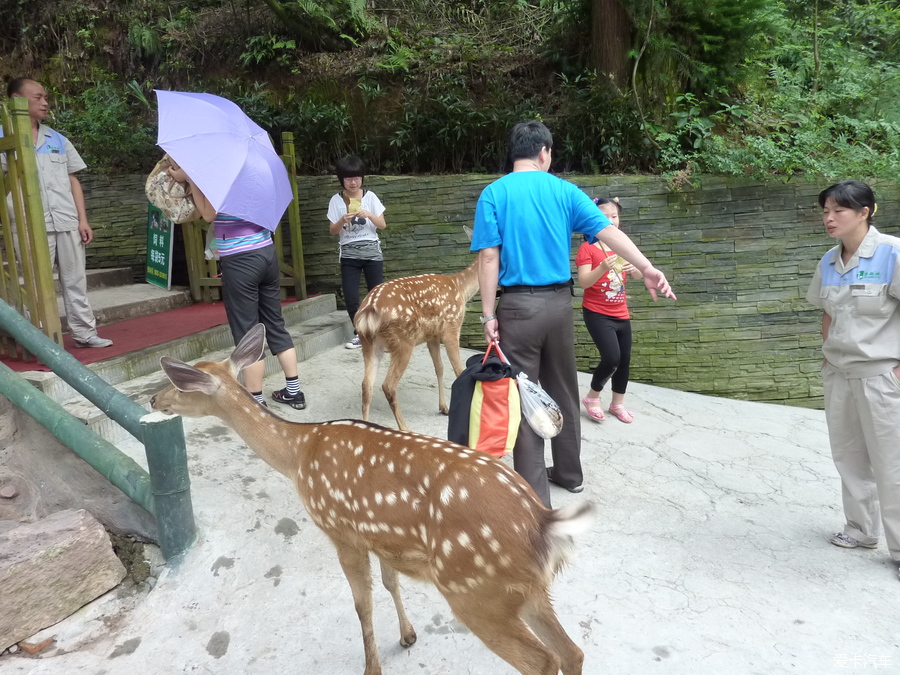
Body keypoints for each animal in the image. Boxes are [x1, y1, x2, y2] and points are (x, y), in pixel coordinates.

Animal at [152, 324, 596, 672]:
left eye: (178, 382)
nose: (154, 400)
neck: (299, 455)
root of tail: (545, 523)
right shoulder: (379, 535)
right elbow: (389, 583)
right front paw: (407, 635)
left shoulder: (341, 530)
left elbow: (361, 604)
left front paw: (373, 667)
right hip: (527, 589)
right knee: (572, 652)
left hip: (475, 589)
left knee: (543, 660)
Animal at [354, 258, 478, 434]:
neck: (460, 287)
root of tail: (368, 312)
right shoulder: (452, 327)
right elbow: (459, 370)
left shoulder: (432, 336)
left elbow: (439, 368)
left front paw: (444, 408)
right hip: (403, 341)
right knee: (388, 385)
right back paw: (405, 428)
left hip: (369, 344)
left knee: (366, 385)